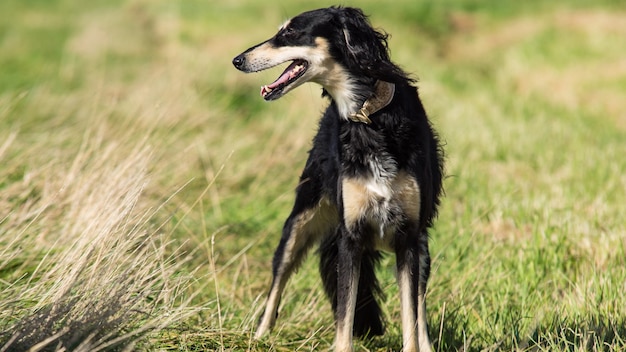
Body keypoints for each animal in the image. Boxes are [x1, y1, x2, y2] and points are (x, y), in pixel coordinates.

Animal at [232, 6, 442, 352]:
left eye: (290, 33)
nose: (237, 60)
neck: (368, 119)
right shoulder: (350, 236)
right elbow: (345, 317)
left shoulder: (409, 238)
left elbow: (411, 319)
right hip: (299, 221)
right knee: (278, 279)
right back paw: (259, 337)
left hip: (422, 246)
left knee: (420, 307)